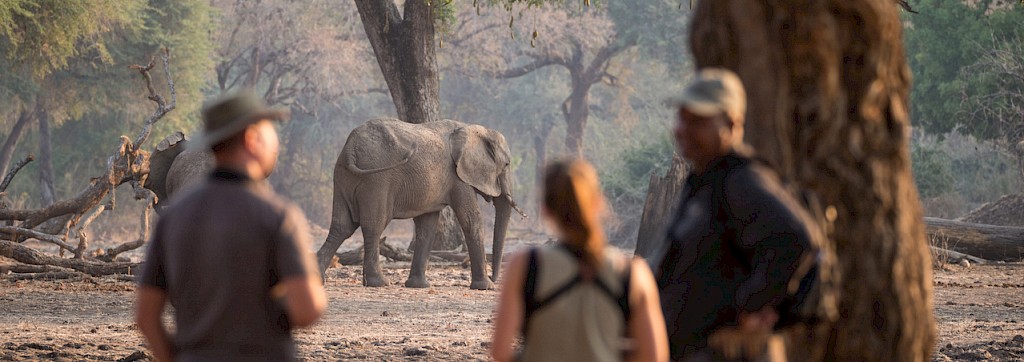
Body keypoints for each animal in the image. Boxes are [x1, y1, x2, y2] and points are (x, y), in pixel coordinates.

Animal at [315, 119, 524, 290]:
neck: (474, 129)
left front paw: (418, 285)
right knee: (373, 226)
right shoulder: (458, 177)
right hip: (375, 179)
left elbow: (428, 225)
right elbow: (471, 220)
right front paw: (486, 287)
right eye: (507, 164)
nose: (494, 277)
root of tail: (350, 148)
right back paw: (379, 283)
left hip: (343, 176)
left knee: (341, 227)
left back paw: (318, 280)